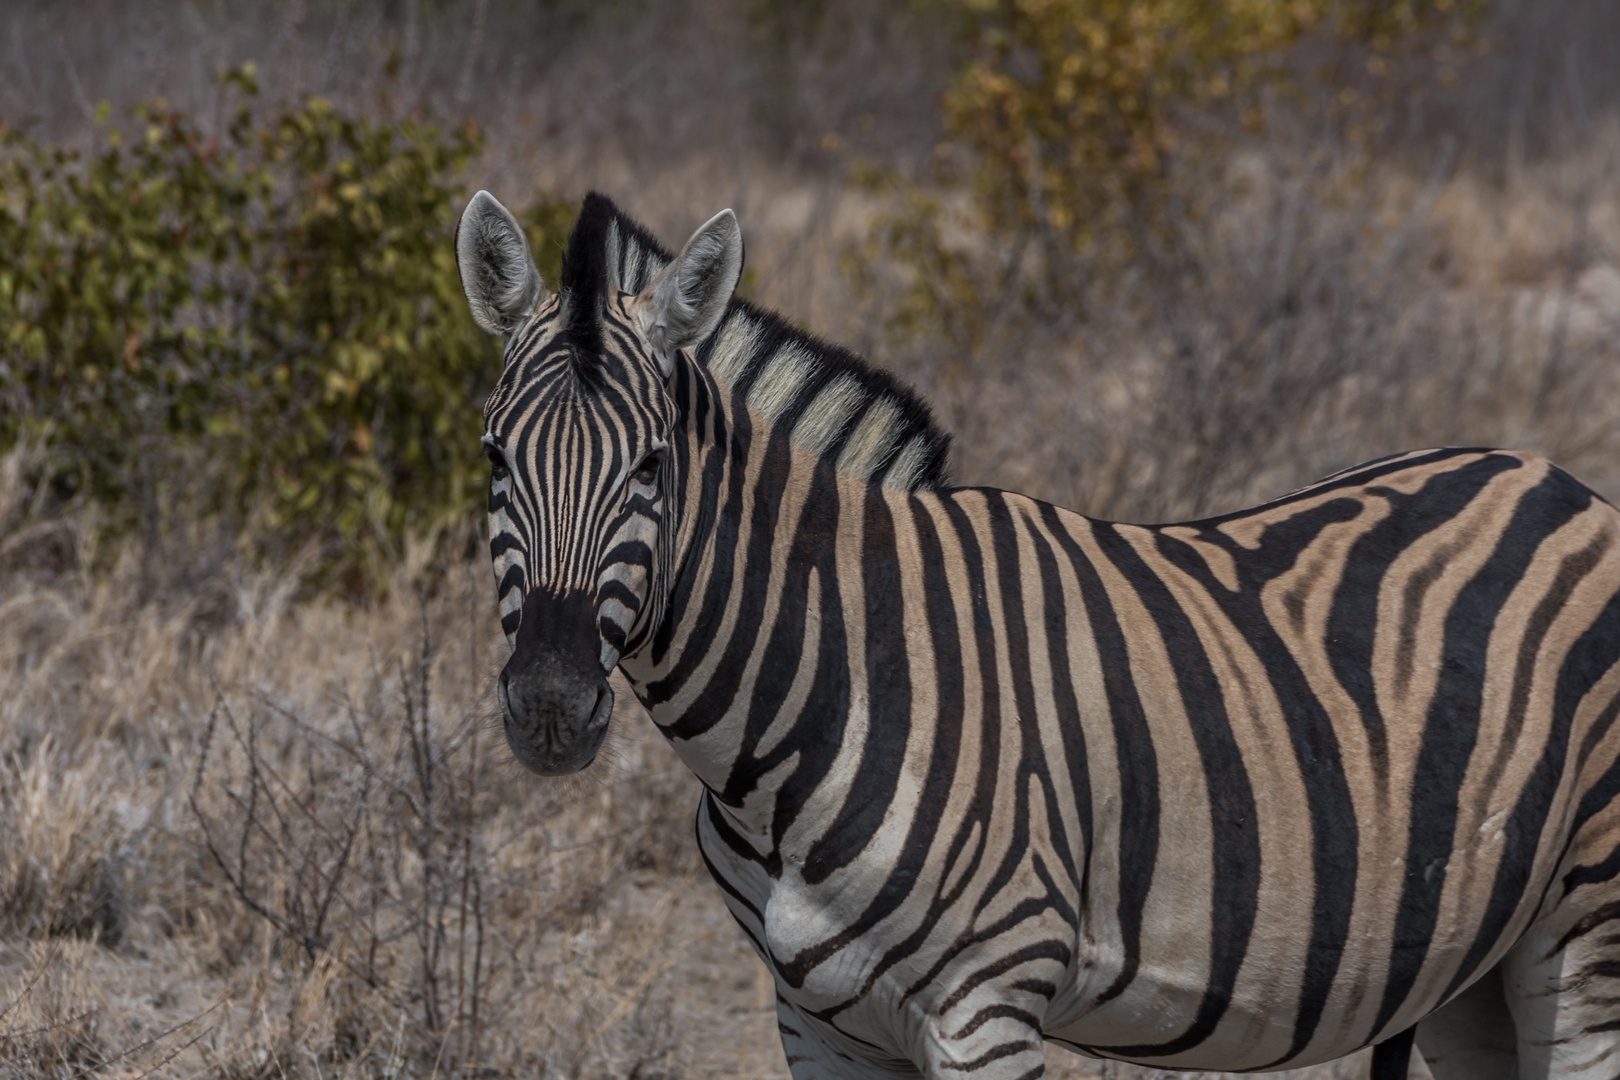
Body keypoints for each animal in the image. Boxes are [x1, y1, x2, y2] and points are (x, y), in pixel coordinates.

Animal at [453, 190, 1620, 1075]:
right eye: (493, 459)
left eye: (653, 467)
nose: (549, 706)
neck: (828, 684)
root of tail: (1557, 480)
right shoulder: (818, 1024)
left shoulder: (986, 1007)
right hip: (1475, 965)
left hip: (1585, 930)